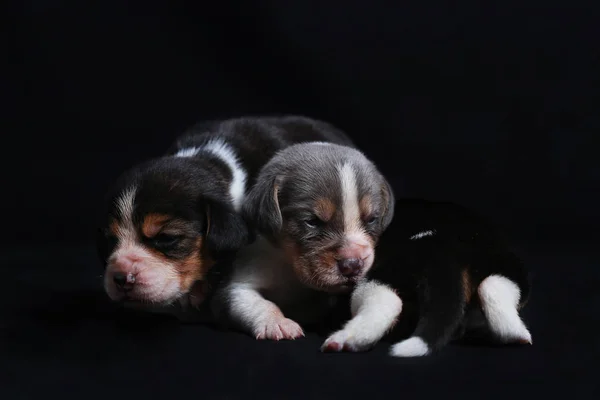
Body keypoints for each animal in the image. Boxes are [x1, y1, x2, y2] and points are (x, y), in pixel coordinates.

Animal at [213, 142, 396, 340]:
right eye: (312, 221)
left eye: (371, 219)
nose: (352, 265)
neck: (291, 269)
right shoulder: (240, 281)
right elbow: (257, 302)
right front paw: (277, 323)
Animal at [322, 198, 532, 358]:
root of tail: (438, 247)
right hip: (509, 266)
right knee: (493, 286)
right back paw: (516, 334)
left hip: (382, 277)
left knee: (386, 303)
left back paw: (343, 340)